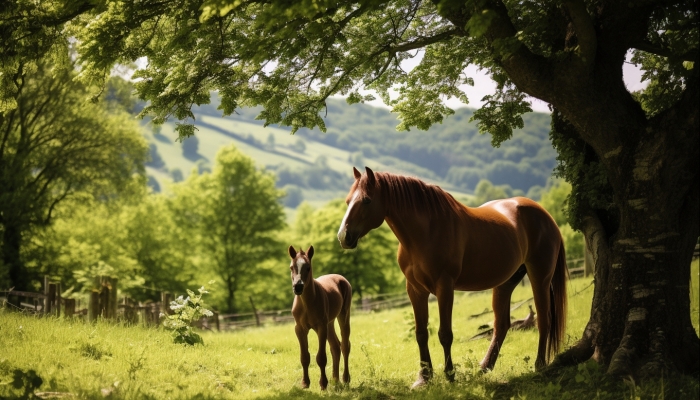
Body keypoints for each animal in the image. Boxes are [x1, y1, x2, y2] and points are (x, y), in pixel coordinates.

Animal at [286, 245, 350, 390]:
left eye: (308, 267)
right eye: (292, 267)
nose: (298, 287)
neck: (307, 303)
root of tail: (339, 277)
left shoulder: (321, 327)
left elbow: (321, 357)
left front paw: (323, 384)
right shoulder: (300, 329)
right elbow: (304, 357)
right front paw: (305, 383)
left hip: (343, 316)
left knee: (345, 345)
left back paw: (345, 378)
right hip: (330, 323)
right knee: (335, 347)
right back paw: (335, 380)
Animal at [340, 166, 568, 388]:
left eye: (367, 200)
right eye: (348, 200)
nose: (343, 236)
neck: (426, 231)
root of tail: (545, 215)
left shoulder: (445, 287)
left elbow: (445, 334)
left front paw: (450, 376)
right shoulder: (415, 290)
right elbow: (421, 333)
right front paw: (424, 378)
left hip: (540, 277)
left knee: (544, 319)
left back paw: (539, 365)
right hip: (505, 282)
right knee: (502, 325)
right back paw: (484, 367)